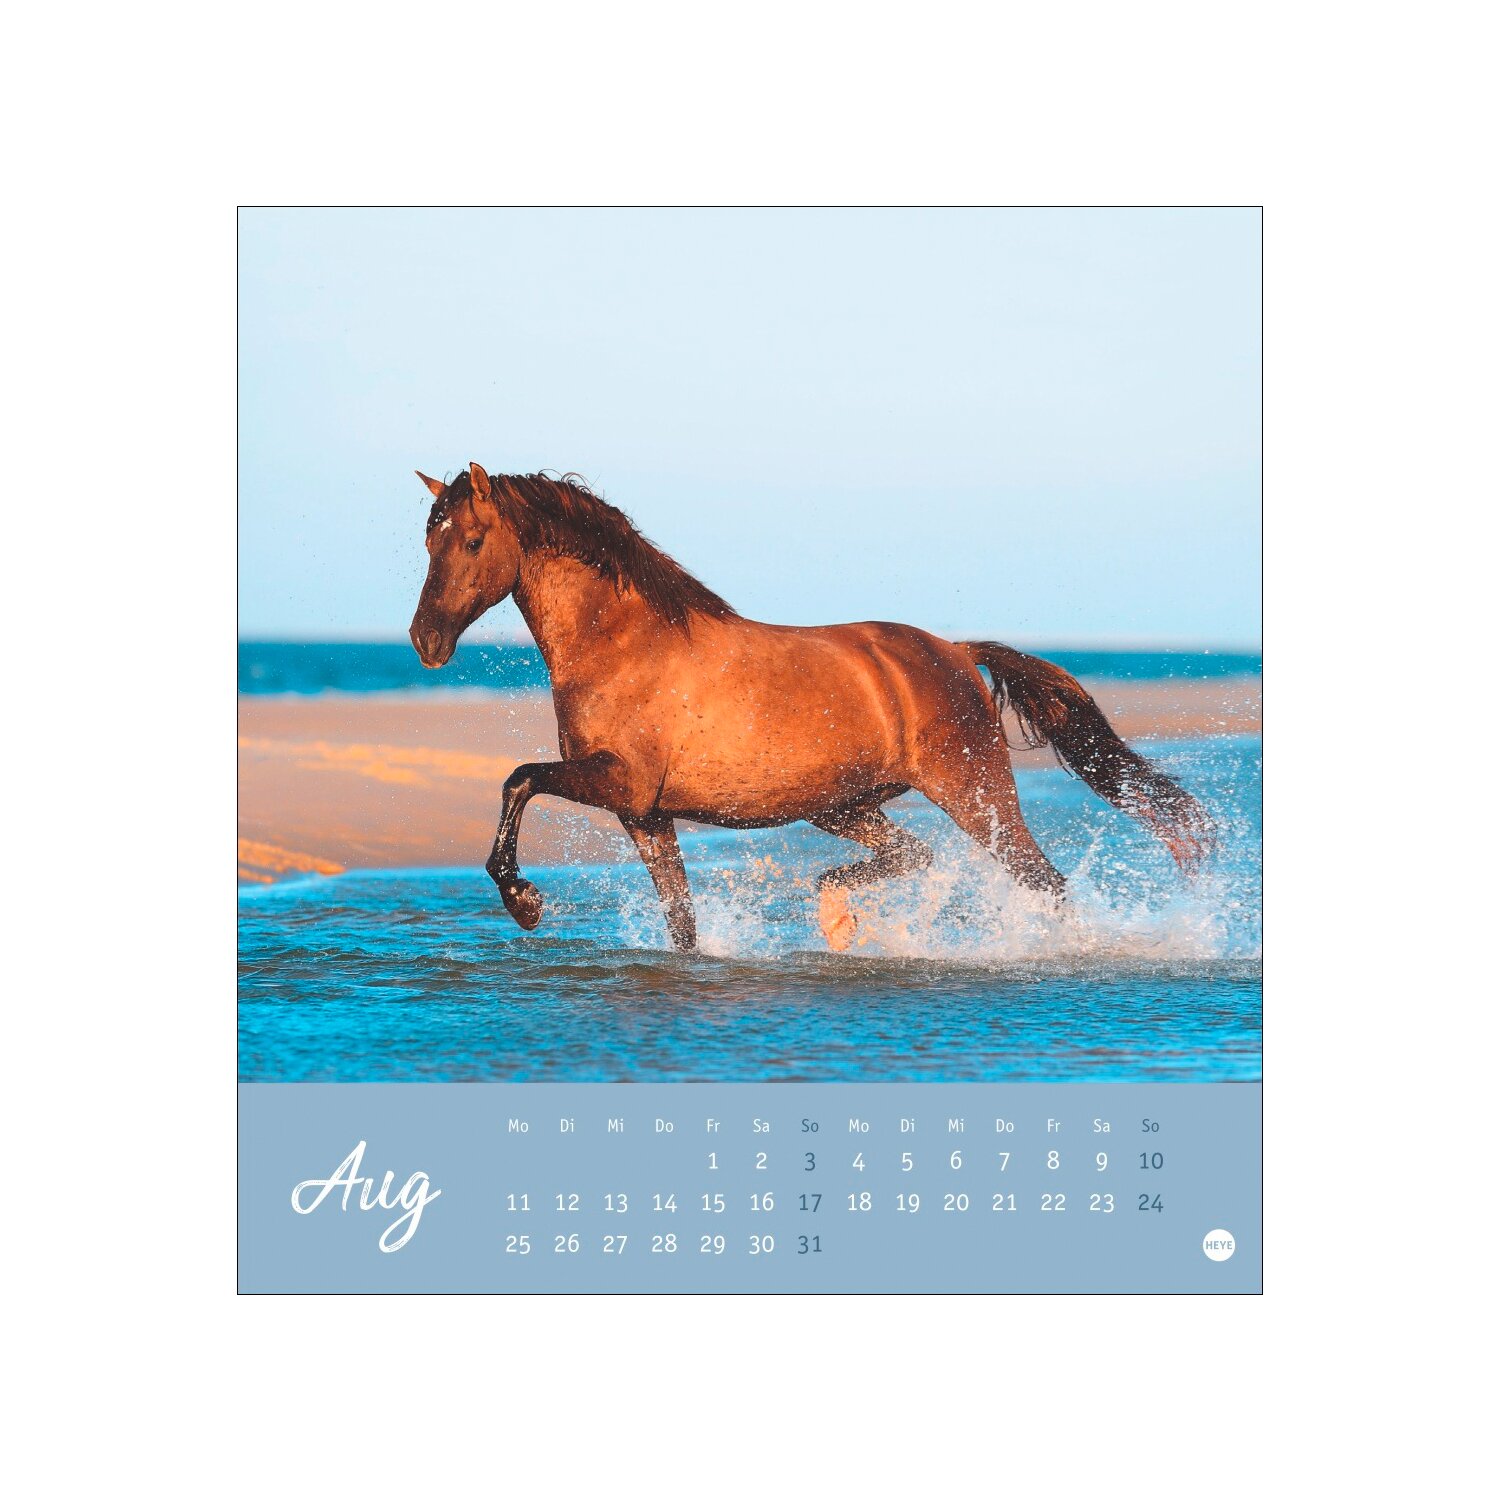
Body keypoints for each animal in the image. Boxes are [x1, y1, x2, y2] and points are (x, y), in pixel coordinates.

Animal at [408, 464, 1213, 953]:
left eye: (472, 539)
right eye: (427, 541)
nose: (424, 640)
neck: (621, 640)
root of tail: (956, 652)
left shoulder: (620, 783)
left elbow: (519, 779)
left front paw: (523, 900)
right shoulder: (645, 816)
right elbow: (683, 926)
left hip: (973, 792)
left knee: (1045, 881)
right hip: (842, 805)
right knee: (911, 856)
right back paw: (837, 917)